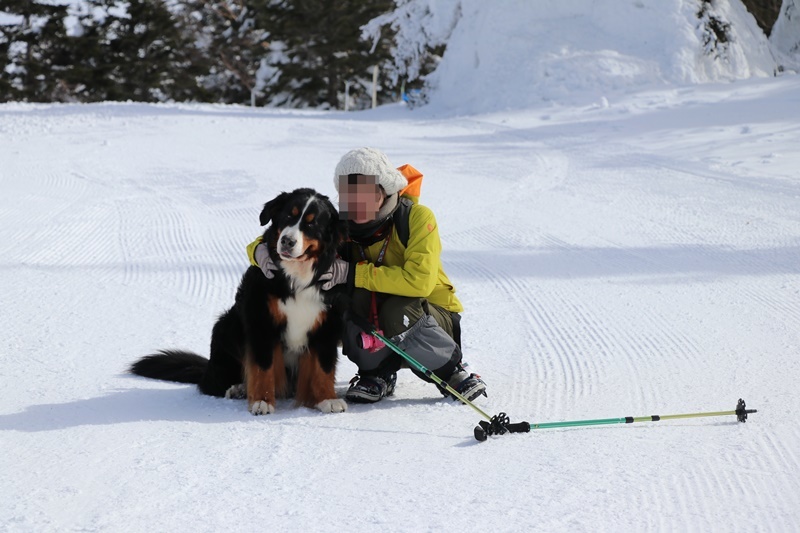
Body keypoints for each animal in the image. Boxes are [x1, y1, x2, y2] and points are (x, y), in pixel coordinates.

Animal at [131, 188, 350, 416]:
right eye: (288, 216)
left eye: (311, 223)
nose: (287, 241)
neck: (296, 276)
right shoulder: (260, 319)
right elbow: (262, 366)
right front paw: (261, 401)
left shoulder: (327, 324)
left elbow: (323, 367)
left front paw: (327, 399)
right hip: (226, 325)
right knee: (215, 382)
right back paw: (239, 388)